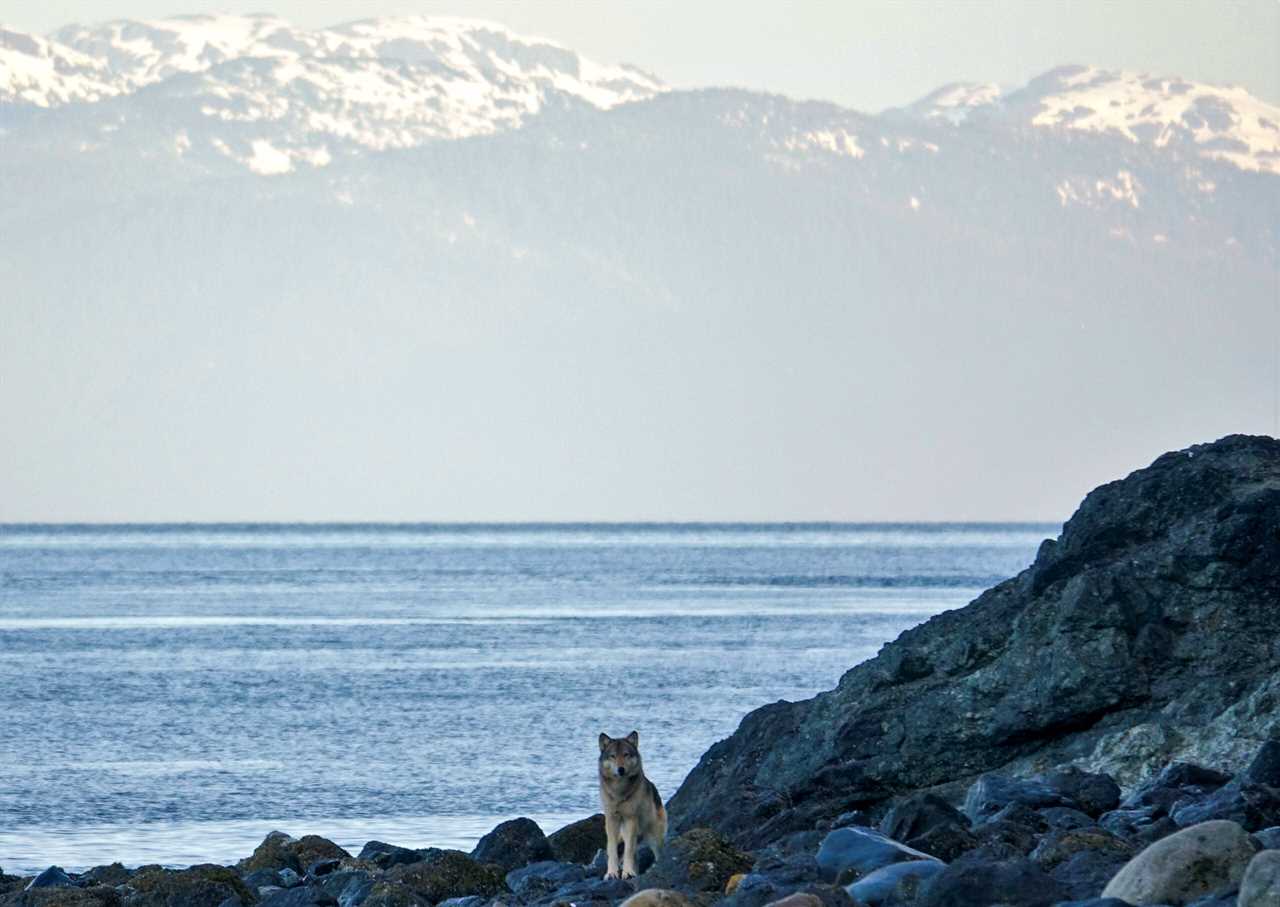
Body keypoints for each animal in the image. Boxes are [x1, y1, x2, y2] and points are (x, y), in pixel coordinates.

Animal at [596, 726, 670, 875]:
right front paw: (612, 873)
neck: (619, 791)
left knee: (655, 854)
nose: (621, 769)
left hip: (653, 837)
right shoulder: (611, 820)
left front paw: (628, 872)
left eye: (626, 755)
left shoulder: (631, 819)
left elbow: (628, 850)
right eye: (613, 756)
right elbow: (612, 849)